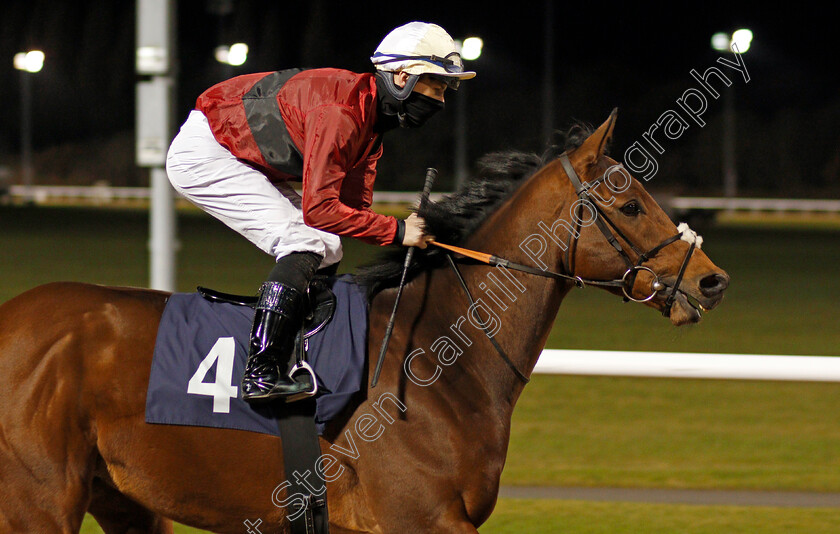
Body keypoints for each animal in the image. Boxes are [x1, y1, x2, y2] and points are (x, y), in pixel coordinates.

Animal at [0, 111, 728, 532]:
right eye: (630, 205)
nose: (710, 280)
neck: (441, 356)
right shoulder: (420, 520)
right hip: (39, 500)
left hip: (124, 499)